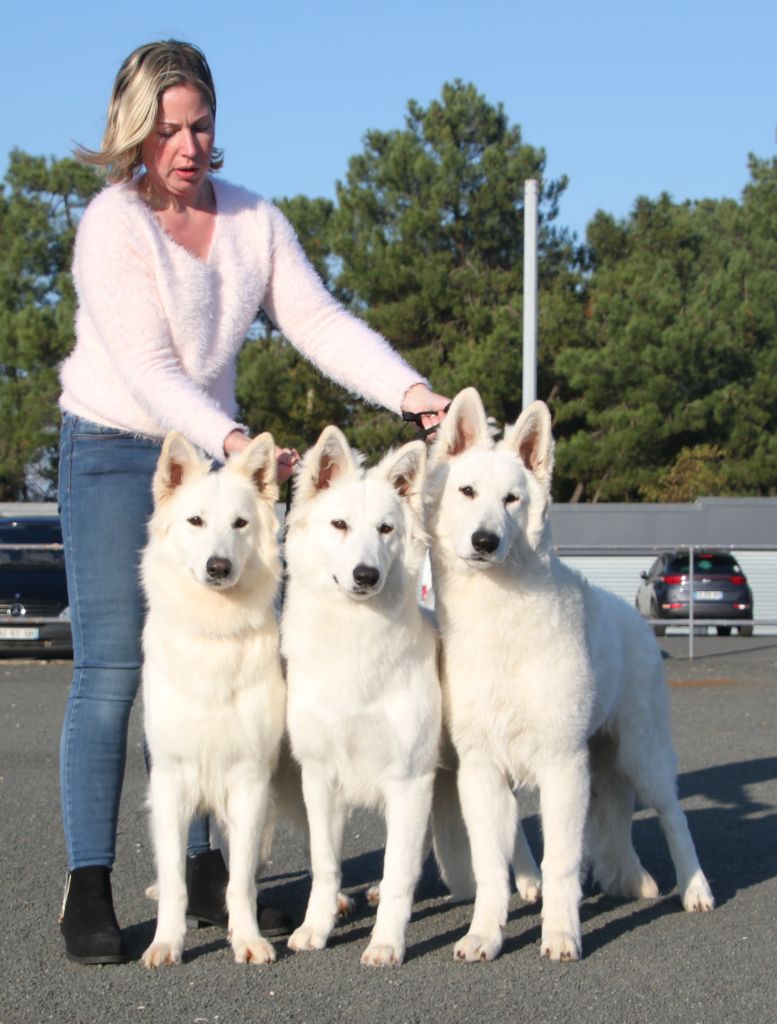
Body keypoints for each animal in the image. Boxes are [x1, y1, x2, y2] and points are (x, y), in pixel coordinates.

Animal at [140, 432, 286, 966]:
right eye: (196, 521)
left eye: (240, 524)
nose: (218, 567)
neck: (213, 632)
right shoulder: (170, 780)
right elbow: (177, 879)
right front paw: (166, 942)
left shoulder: (249, 781)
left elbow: (240, 880)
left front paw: (247, 939)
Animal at [284, 425, 444, 966]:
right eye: (339, 524)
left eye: (386, 530)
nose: (366, 575)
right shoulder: (319, 777)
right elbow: (325, 864)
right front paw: (316, 928)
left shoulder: (409, 778)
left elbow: (398, 872)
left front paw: (386, 943)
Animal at [427, 389, 712, 958]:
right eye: (467, 492)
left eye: (512, 499)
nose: (485, 541)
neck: (500, 621)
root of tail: (634, 616)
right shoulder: (481, 771)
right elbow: (491, 868)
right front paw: (485, 935)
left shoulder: (562, 764)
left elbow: (558, 862)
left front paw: (560, 934)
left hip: (641, 758)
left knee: (675, 817)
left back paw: (696, 890)